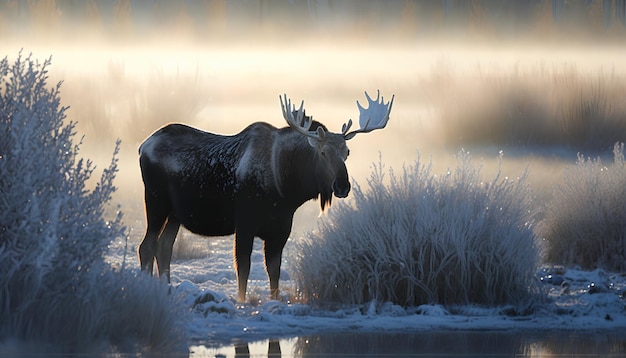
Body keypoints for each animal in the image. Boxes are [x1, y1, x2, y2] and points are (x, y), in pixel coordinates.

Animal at [138, 90, 390, 302]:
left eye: (347, 152)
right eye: (323, 152)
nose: (342, 186)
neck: (286, 189)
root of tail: (142, 147)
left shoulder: (281, 228)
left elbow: (274, 272)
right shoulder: (245, 222)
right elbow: (243, 269)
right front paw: (241, 301)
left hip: (175, 213)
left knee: (164, 248)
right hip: (156, 201)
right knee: (147, 247)